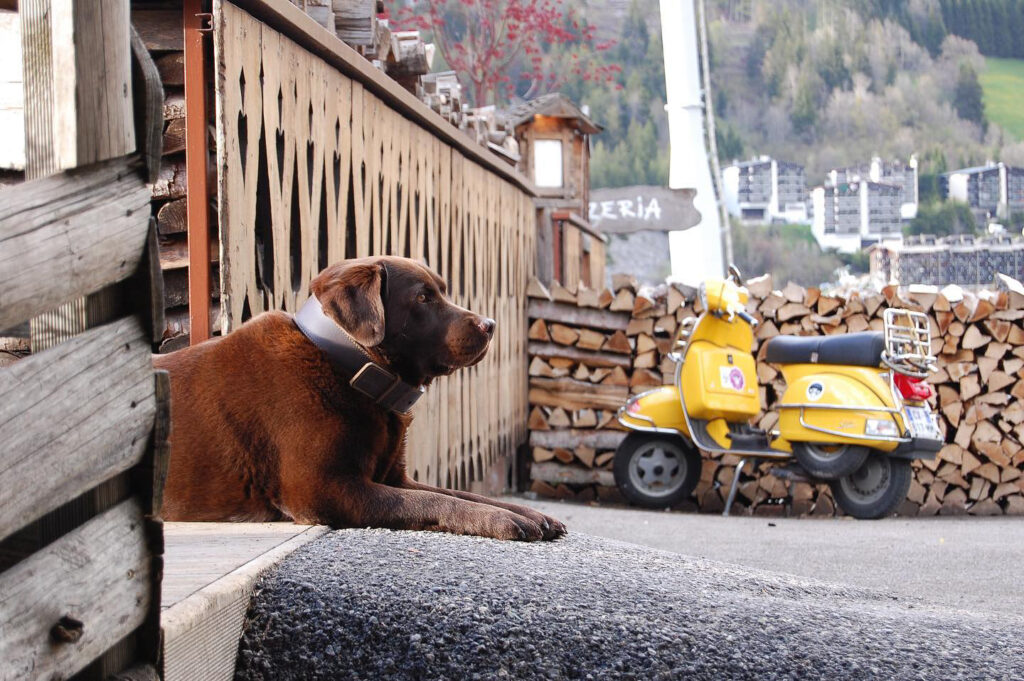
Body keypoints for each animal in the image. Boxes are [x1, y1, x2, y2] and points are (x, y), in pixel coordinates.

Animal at [155, 254, 565, 540]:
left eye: (442, 291)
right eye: (422, 297)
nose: (490, 325)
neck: (347, 363)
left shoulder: (397, 477)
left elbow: (462, 494)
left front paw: (529, 514)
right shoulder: (327, 490)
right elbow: (439, 501)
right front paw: (503, 520)